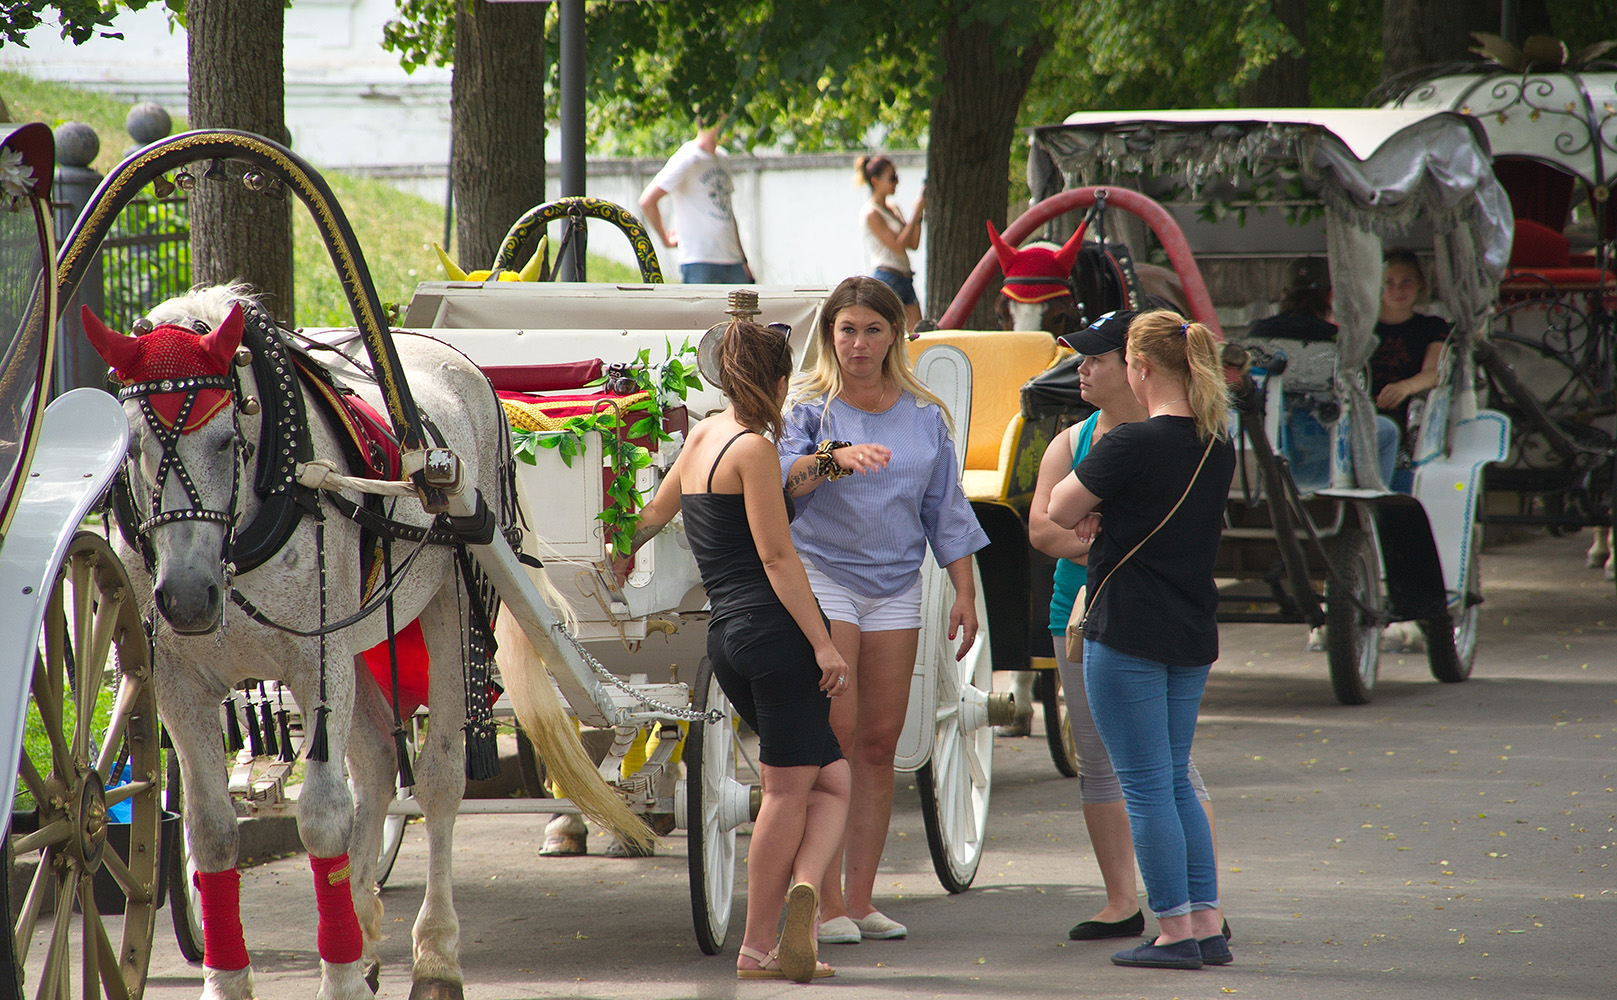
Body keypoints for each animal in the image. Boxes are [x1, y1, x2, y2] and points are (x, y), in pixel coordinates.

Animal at [85, 284, 646, 990]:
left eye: (228, 438)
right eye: (132, 446)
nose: (186, 596)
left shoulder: (317, 663)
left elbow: (324, 819)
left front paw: (342, 978)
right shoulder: (180, 685)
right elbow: (212, 833)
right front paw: (230, 980)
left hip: (452, 605)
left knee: (438, 780)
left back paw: (434, 952)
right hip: (361, 647)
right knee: (378, 762)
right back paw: (363, 927)